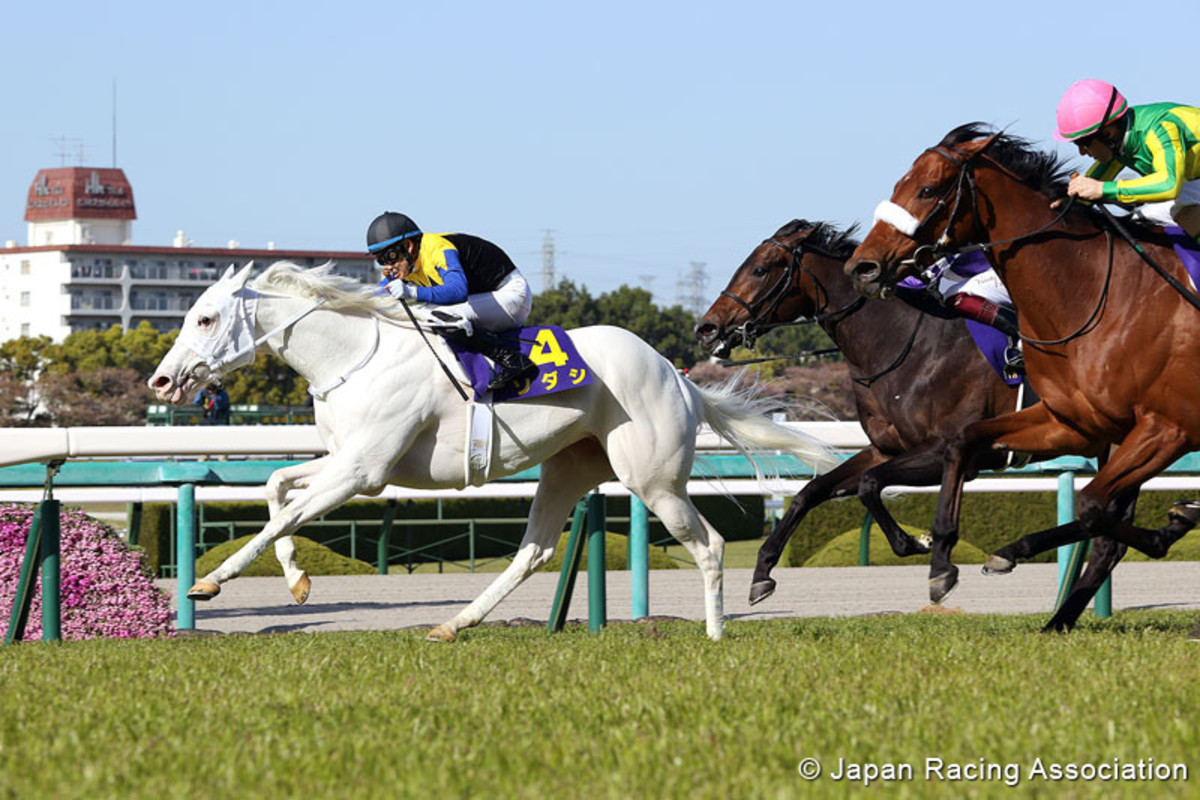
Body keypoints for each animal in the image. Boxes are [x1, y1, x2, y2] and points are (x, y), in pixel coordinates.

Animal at [147, 266, 835, 642]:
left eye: (204, 319)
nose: (162, 381)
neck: (354, 355)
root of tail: (677, 375)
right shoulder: (351, 464)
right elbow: (277, 490)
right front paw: (296, 581)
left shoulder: (363, 471)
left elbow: (286, 512)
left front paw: (208, 582)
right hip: (568, 467)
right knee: (533, 553)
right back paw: (454, 623)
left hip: (654, 480)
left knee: (710, 544)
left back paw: (716, 632)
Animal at [700, 220, 1027, 606]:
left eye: (760, 269)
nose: (706, 328)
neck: (907, 346)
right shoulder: (884, 450)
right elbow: (812, 491)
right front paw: (762, 571)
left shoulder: (950, 449)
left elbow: (869, 486)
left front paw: (917, 542)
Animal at [844, 123, 1200, 614]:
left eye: (927, 189)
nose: (862, 266)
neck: (1097, 294)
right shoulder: (1074, 422)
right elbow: (964, 442)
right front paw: (942, 561)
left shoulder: (1166, 428)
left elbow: (1092, 507)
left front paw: (1173, 525)